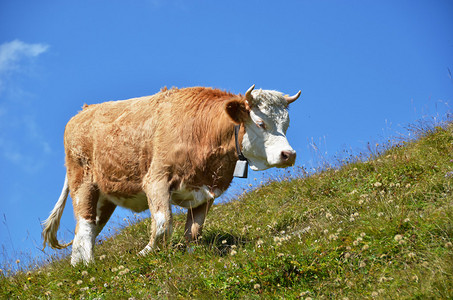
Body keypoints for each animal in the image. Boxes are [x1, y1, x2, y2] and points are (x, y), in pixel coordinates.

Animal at [42, 84, 300, 264]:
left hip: (106, 196)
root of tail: (83, 112)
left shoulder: (207, 192)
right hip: (82, 181)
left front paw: (192, 255)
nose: (289, 154)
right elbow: (163, 224)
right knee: (84, 226)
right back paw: (86, 266)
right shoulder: (156, 180)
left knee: (88, 229)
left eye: (286, 125)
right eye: (260, 122)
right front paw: (143, 254)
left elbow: (194, 231)